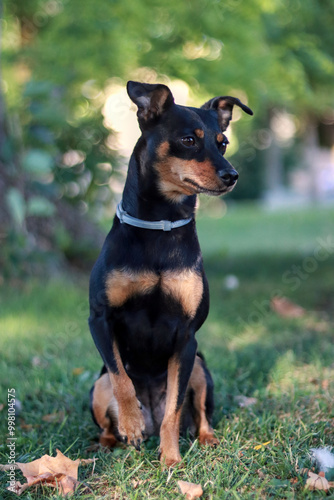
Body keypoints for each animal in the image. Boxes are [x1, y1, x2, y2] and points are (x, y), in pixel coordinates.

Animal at [88, 80, 253, 466]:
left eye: (223, 141)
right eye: (189, 140)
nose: (232, 175)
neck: (160, 226)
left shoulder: (186, 336)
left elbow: (175, 409)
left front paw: (171, 460)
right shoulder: (99, 319)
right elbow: (121, 378)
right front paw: (131, 423)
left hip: (201, 368)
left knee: (196, 414)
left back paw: (203, 438)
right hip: (96, 386)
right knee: (108, 408)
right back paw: (112, 440)